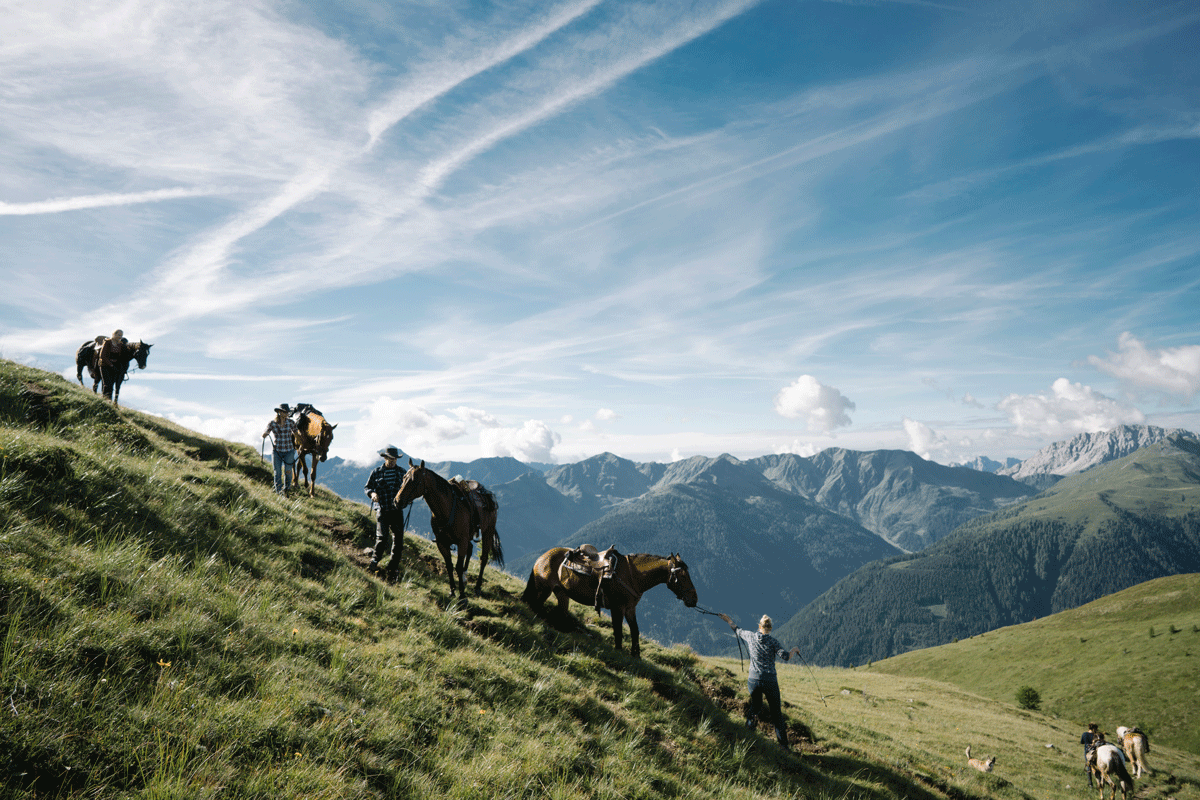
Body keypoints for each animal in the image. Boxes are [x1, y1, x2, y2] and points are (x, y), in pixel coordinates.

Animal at [393, 459, 504, 597]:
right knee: (470, 549)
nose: (397, 501)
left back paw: (477, 587)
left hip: (488, 532)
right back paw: (465, 579)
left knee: (483, 559)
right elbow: (449, 565)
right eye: (403, 477)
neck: (447, 509)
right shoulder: (442, 543)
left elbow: (458, 566)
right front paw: (452, 591)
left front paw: (462, 595)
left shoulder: (461, 542)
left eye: (415, 480)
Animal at [522, 547, 698, 659]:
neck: (632, 576)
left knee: (559, 613)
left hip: (561, 594)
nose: (694, 599)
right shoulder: (617, 608)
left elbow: (635, 631)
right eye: (683, 576)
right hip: (543, 589)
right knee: (535, 605)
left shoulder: (630, 609)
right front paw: (619, 651)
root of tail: (543, 557)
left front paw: (636, 654)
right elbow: (618, 630)